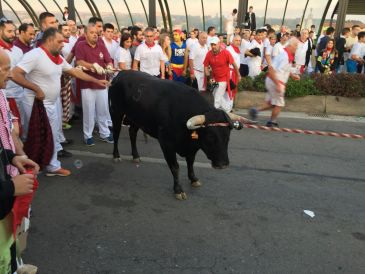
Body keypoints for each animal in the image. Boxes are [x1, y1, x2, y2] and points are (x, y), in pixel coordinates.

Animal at [109, 70, 245, 199]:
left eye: (228, 137)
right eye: (210, 137)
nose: (223, 164)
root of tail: (120, 74)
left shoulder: (192, 146)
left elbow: (190, 162)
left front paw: (193, 179)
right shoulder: (166, 143)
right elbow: (175, 167)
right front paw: (178, 189)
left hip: (136, 118)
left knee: (132, 133)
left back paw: (136, 156)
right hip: (116, 112)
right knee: (116, 133)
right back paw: (116, 156)